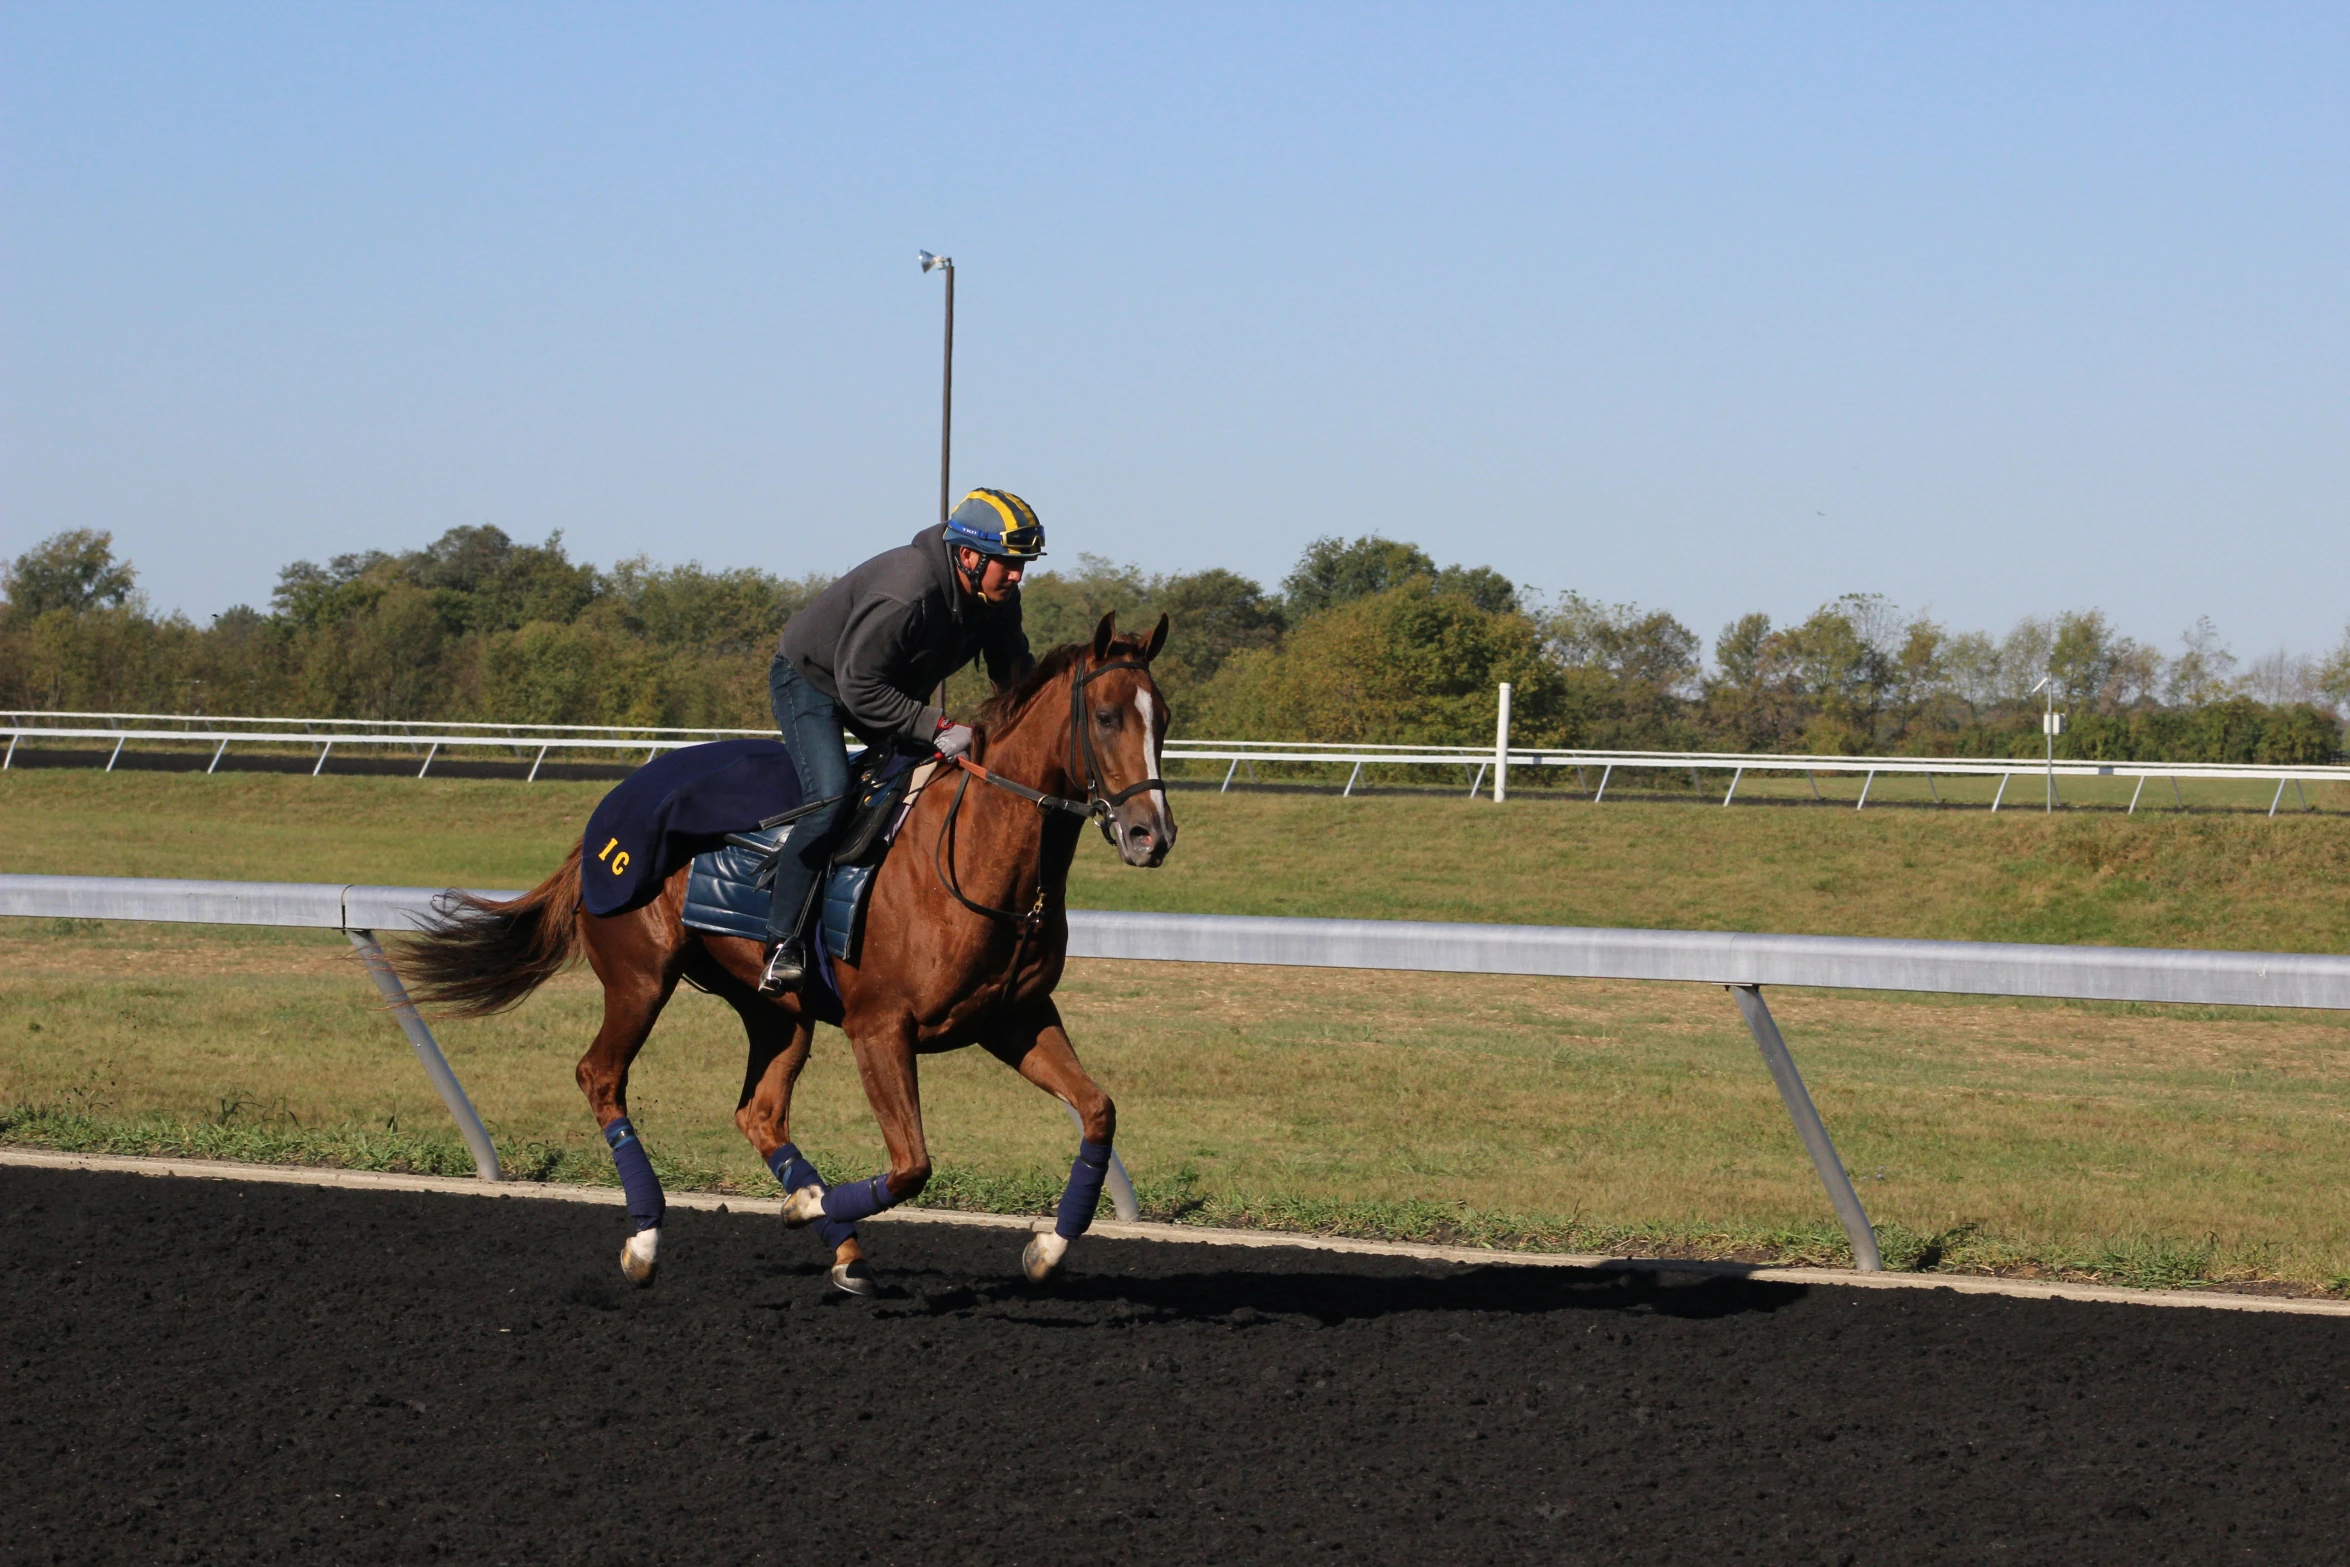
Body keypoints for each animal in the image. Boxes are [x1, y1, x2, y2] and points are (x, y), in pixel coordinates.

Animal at [399, 620, 1193, 1296]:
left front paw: (1046, 1248)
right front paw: (807, 1207)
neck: (972, 854)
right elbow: (913, 1165)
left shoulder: (1014, 1017)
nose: (1151, 835)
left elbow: (1098, 1111)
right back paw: (650, 1238)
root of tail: (607, 812)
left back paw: (843, 1249)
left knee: (759, 1112)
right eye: (1107, 717)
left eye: (1164, 717)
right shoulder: (880, 1027)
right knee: (601, 1076)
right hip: (640, 976)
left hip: (777, 1009)